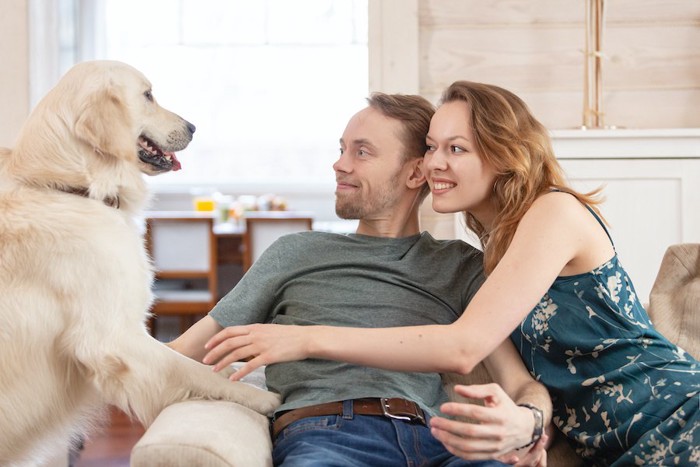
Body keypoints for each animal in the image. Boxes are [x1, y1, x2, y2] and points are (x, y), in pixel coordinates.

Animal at [0, 60, 278, 466]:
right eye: (148, 95)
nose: (193, 127)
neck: (72, 188)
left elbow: (185, 357)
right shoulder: (111, 337)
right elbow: (190, 370)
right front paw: (261, 397)